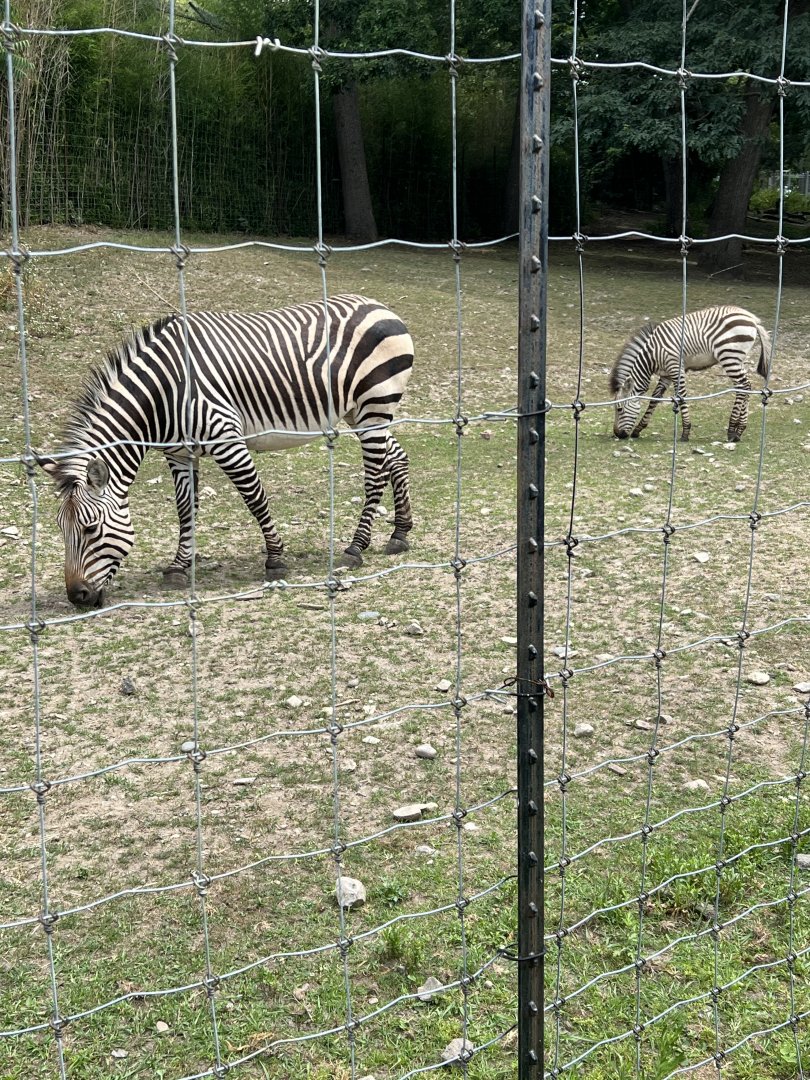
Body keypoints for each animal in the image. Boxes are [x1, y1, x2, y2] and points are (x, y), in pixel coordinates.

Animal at [38, 294, 414, 608]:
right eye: (60, 528)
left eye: (90, 529)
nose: (77, 597)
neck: (163, 393)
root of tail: (381, 306)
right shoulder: (179, 453)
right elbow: (185, 510)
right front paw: (179, 566)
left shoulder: (226, 439)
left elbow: (255, 498)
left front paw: (275, 559)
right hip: (358, 412)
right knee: (397, 458)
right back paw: (399, 534)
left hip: (374, 405)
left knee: (375, 474)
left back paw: (356, 547)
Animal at [610, 305, 772, 443]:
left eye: (619, 409)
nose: (618, 434)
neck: (652, 356)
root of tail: (752, 319)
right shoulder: (666, 374)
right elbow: (654, 399)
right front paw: (638, 429)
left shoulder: (675, 367)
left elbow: (681, 396)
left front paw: (685, 432)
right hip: (737, 359)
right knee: (746, 386)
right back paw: (739, 431)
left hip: (729, 355)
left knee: (742, 386)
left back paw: (732, 431)